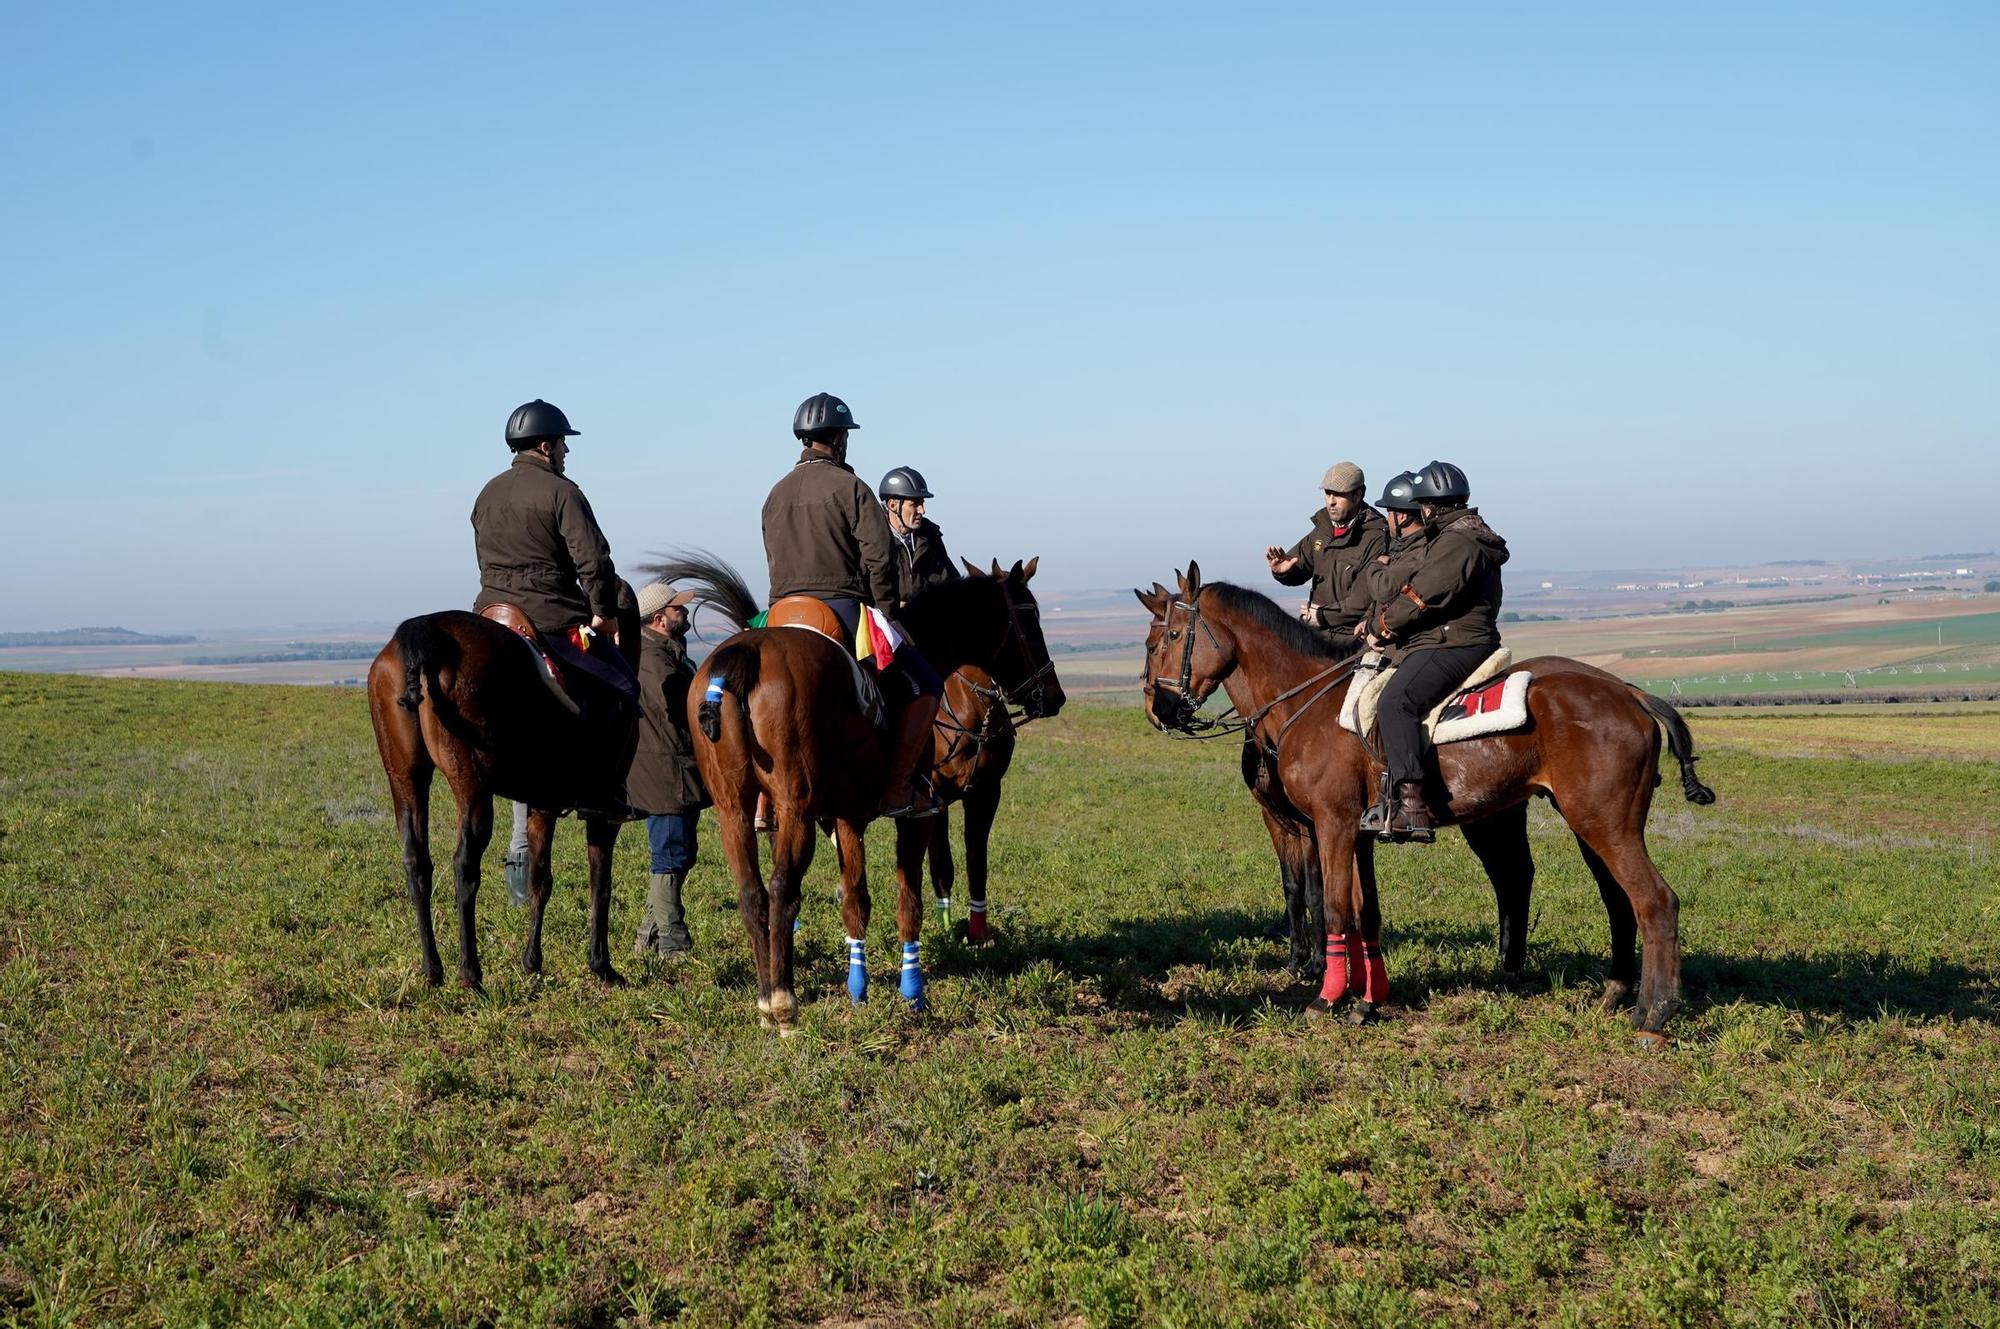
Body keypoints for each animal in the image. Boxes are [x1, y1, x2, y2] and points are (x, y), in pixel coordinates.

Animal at [364, 588, 636, 984]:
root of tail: (423, 630)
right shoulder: (602, 816)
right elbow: (600, 884)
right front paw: (601, 965)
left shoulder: (542, 805)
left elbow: (540, 879)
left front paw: (532, 961)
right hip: (472, 787)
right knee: (464, 866)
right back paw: (470, 973)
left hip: (405, 778)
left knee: (417, 863)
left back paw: (433, 970)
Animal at [652, 556, 1064, 1032]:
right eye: (1030, 617)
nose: (1054, 695)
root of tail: (747, 652)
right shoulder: (917, 813)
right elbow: (910, 900)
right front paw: (913, 993)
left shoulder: (851, 815)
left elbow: (857, 901)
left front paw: (858, 990)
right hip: (795, 808)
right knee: (782, 889)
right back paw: (783, 1001)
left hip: (732, 808)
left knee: (752, 892)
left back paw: (765, 1000)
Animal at [1136, 560, 1712, 1040]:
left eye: (1169, 636)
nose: (1158, 708)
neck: (1308, 701)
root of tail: (1630, 693)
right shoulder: (1358, 834)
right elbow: (1366, 915)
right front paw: (1367, 1000)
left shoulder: (1332, 825)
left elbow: (1335, 908)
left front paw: (1327, 998)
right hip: (1588, 824)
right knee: (1617, 900)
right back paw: (1617, 994)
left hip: (1604, 825)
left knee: (1655, 902)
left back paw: (1654, 1014)